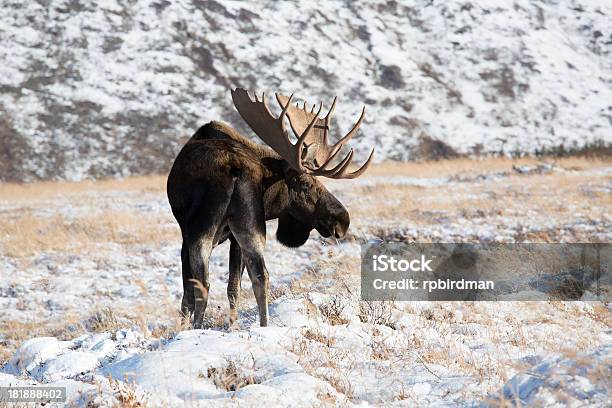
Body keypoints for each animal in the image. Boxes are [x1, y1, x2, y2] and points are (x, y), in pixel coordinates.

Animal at [169, 89, 378, 328]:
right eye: (306, 184)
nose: (343, 219)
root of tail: (234, 167)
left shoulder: (187, 235)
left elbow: (189, 294)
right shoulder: (233, 237)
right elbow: (233, 288)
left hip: (201, 228)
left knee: (203, 283)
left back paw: (198, 327)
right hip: (248, 226)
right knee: (261, 275)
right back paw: (264, 325)